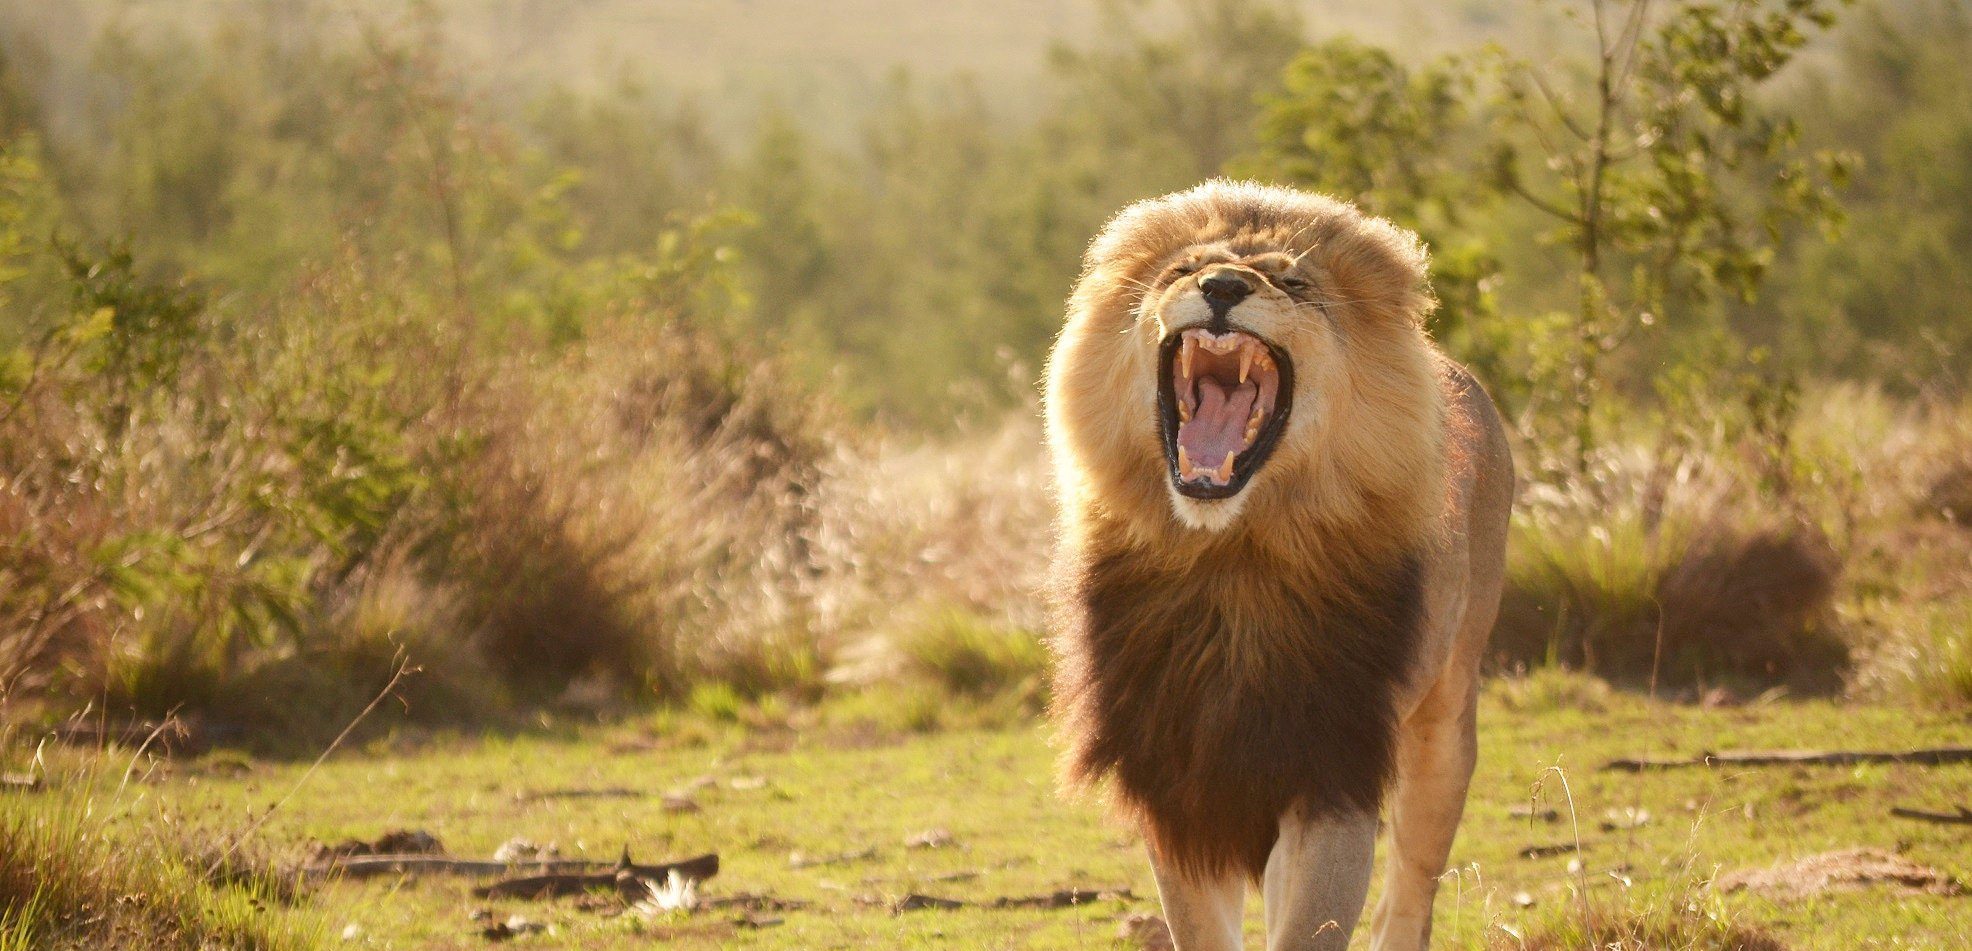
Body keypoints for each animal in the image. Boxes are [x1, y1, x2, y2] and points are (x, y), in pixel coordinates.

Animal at [1044, 181, 1513, 951]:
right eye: (1183, 270)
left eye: (1293, 282)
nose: (1222, 287)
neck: (1232, 559)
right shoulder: (1178, 772)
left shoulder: (1332, 763)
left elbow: (1314, 922)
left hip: (1445, 717)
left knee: (1413, 885)